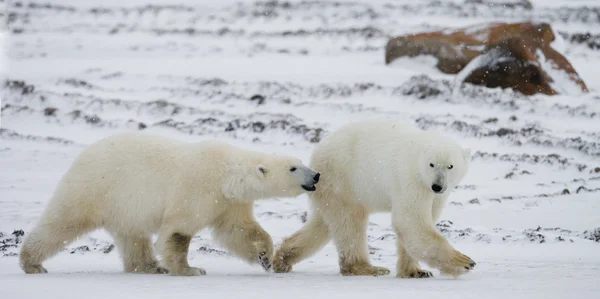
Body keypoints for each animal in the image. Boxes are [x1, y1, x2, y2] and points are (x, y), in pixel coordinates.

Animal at [18, 132, 318, 278]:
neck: (227, 174)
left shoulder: (228, 201)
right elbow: (179, 231)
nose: (316, 175)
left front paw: (266, 256)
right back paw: (32, 263)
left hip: (124, 205)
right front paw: (190, 270)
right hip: (96, 187)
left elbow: (238, 230)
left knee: (132, 236)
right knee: (63, 221)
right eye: (293, 168)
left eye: (301, 162)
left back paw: (149, 266)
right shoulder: (197, 187)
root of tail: (83, 154)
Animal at [274, 118, 476, 278]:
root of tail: (317, 152)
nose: (437, 186)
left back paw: (283, 258)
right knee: (350, 222)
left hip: (330, 189)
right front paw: (464, 262)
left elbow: (422, 220)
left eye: (450, 166)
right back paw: (368, 268)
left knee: (323, 224)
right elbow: (410, 221)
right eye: (431, 164)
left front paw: (416, 271)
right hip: (343, 179)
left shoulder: (435, 194)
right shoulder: (411, 180)